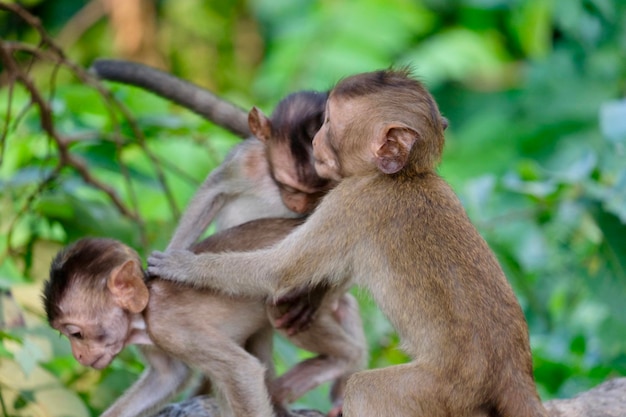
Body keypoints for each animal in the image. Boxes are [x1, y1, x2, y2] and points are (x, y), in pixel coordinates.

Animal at [45, 218, 366, 416]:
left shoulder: (170, 327)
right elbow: (168, 377)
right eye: (67, 337)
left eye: (75, 334)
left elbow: (241, 370)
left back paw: (345, 359)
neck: (143, 312)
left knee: (282, 313)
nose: (78, 356)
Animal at [147, 68, 544, 416]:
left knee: (366, 388)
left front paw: (180, 264)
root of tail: (512, 370)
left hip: (442, 390)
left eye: (329, 124)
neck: (404, 176)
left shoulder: (351, 201)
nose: (317, 141)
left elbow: (279, 272)